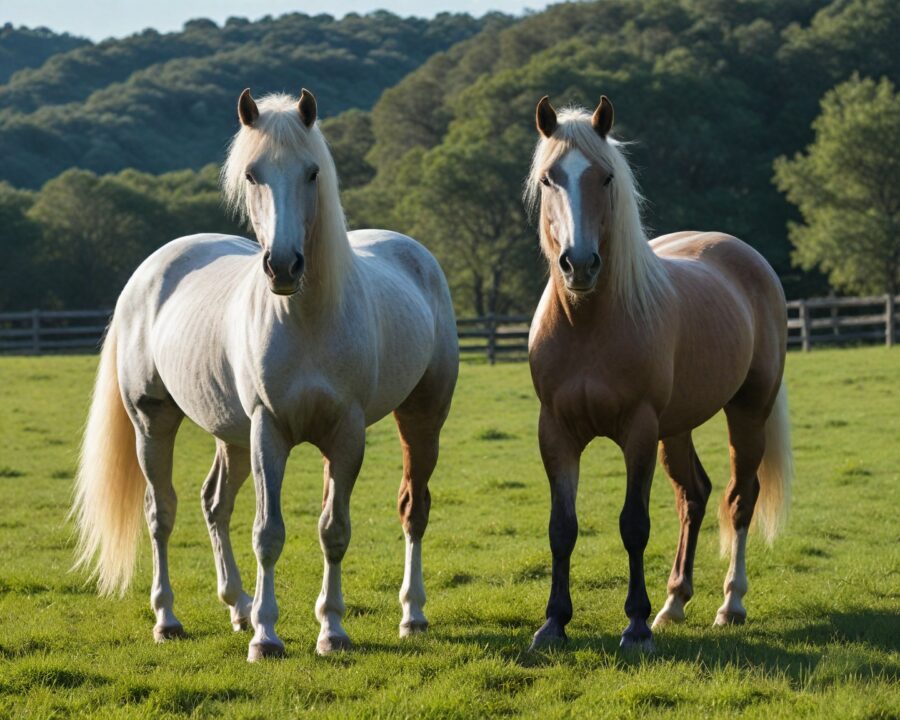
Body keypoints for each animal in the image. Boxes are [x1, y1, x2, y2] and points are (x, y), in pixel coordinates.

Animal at [71, 88, 459, 660]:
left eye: (312, 172)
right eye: (253, 174)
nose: (283, 266)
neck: (305, 317)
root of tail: (150, 271)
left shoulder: (344, 433)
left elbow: (333, 529)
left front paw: (331, 629)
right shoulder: (267, 431)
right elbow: (268, 532)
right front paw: (267, 636)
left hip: (415, 416)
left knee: (406, 508)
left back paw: (401, 613)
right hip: (156, 423)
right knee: (163, 512)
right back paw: (171, 618)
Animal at [525, 95, 793, 651]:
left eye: (605, 177)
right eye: (548, 178)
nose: (579, 265)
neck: (588, 324)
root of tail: (746, 256)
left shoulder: (639, 431)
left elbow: (634, 524)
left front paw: (636, 626)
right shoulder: (555, 432)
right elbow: (562, 527)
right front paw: (553, 623)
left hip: (747, 413)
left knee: (740, 498)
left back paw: (730, 604)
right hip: (679, 427)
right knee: (695, 495)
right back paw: (675, 602)